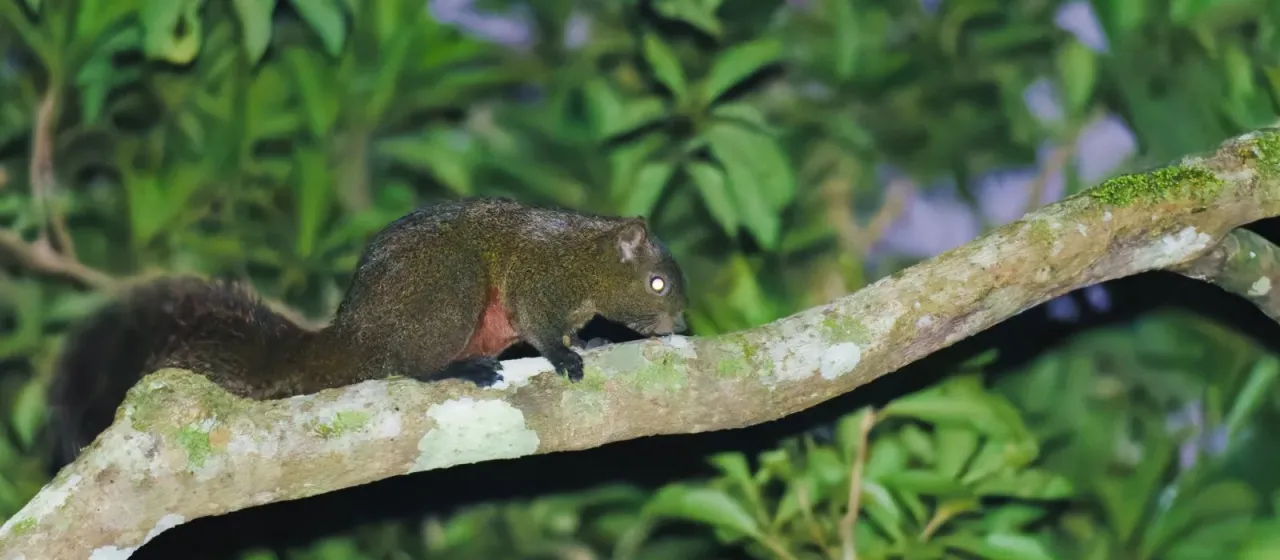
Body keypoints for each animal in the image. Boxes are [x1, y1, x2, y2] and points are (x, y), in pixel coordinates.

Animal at [46, 196, 689, 466]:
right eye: (657, 283)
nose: (679, 323)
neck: (588, 259)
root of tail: (351, 334)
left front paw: (594, 341)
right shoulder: (542, 280)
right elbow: (541, 328)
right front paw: (566, 354)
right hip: (447, 287)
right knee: (405, 365)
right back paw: (457, 367)